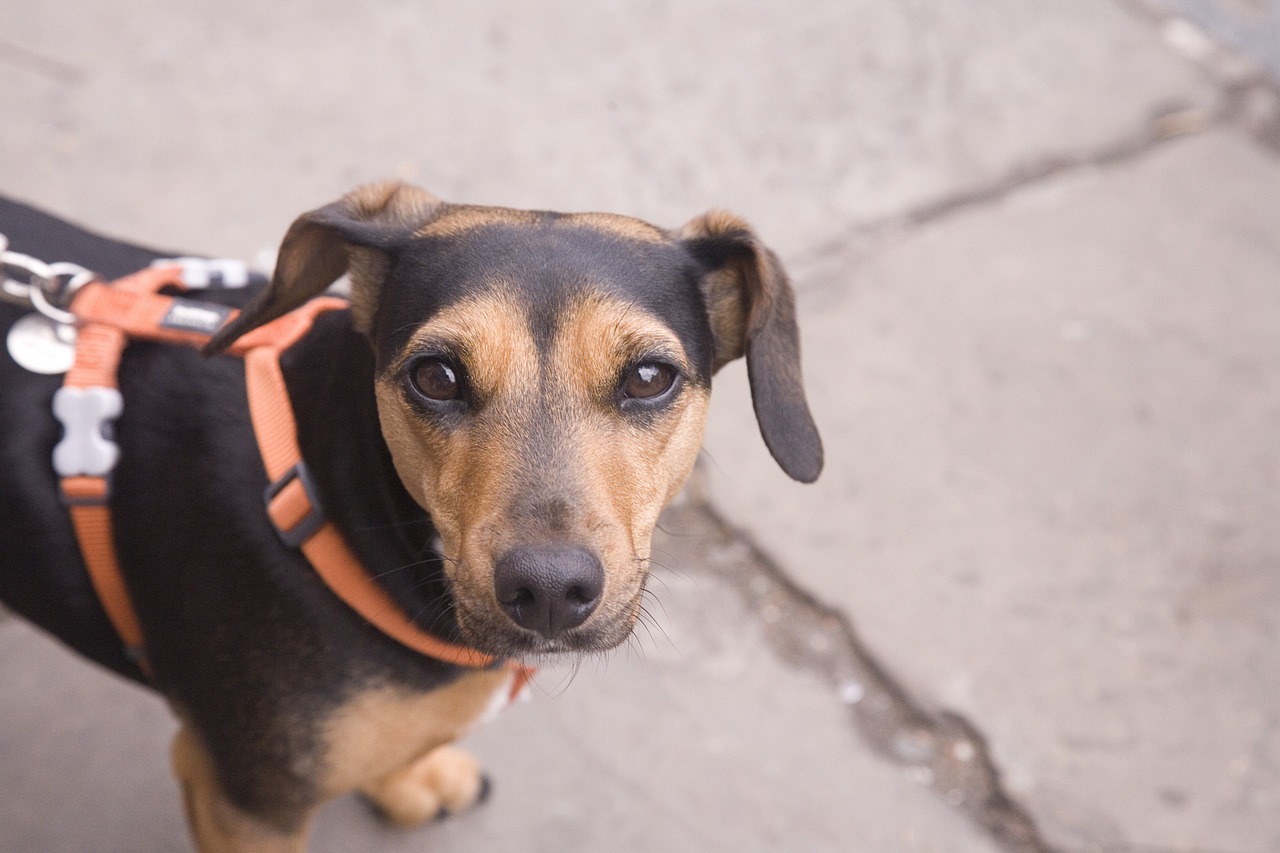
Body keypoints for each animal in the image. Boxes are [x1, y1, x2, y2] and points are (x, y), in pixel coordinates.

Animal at [0, 183, 819, 845]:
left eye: (649, 377)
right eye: (436, 376)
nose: (549, 589)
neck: (327, 498)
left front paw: (406, 778)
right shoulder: (246, 801)